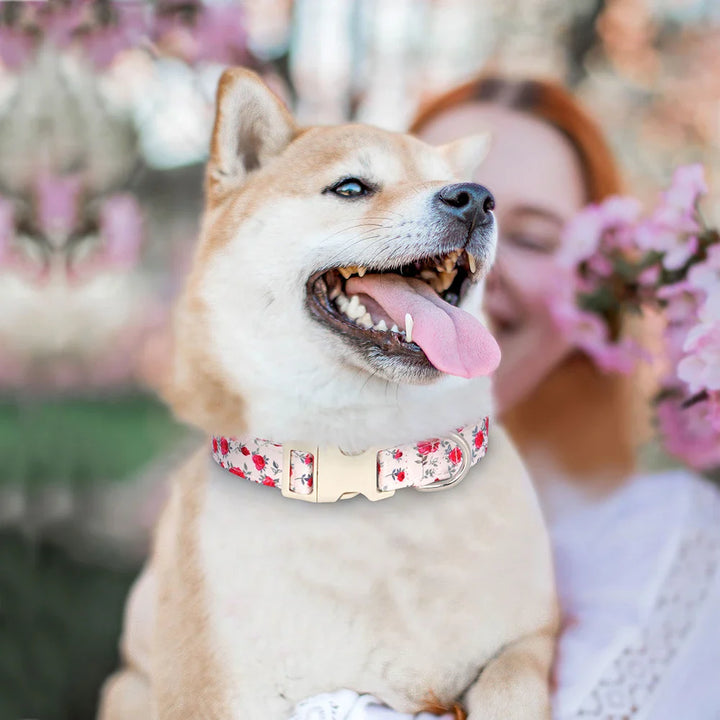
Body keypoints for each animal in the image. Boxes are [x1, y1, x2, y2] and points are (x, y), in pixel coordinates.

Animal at [98, 67, 556, 720]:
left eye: (464, 187)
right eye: (351, 187)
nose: (475, 197)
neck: (374, 464)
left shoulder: (532, 636)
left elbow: (511, 680)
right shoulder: (210, 695)